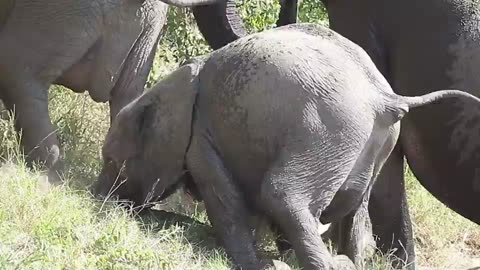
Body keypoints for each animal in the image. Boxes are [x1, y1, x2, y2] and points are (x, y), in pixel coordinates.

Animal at [93, 23, 480, 270]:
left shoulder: (201, 138)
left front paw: (259, 264)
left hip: (325, 133)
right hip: (372, 145)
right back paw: (345, 260)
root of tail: (385, 99)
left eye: (112, 161)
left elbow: (225, 202)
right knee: (356, 210)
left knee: (282, 196)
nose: (97, 200)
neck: (169, 88)